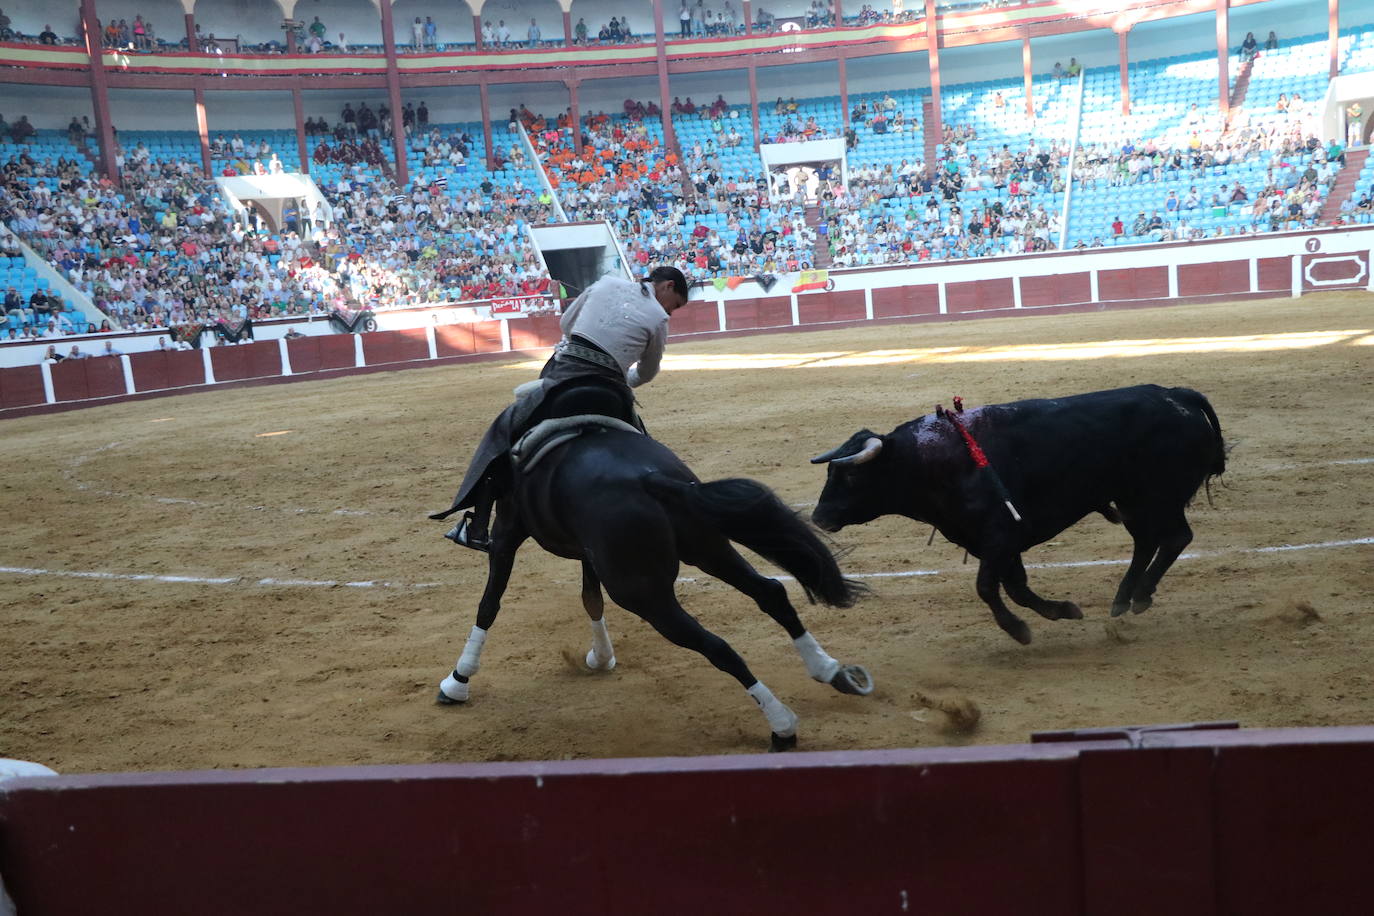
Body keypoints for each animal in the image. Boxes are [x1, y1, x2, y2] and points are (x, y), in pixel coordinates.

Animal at [434, 422, 873, 752]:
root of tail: (650, 478)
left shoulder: (507, 532)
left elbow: (490, 603)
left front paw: (458, 680)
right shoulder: (587, 552)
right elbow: (589, 598)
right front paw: (601, 657)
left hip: (643, 593)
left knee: (717, 646)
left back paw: (782, 725)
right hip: (708, 550)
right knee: (771, 593)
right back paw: (829, 670)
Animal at [802, 384, 1225, 645]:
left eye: (851, 475)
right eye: (829, 472)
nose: (818, 517)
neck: (930, 462)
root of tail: (1176, 396)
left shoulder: (1000, 537)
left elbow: (988, 588)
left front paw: (1019, 630)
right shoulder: (999, 543)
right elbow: (1017, 587)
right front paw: (1062, 611)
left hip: (1159, 496)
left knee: (1174, 538)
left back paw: (1139, 595)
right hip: (1132, 500)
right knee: (1147, 542)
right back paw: (1124, 599)